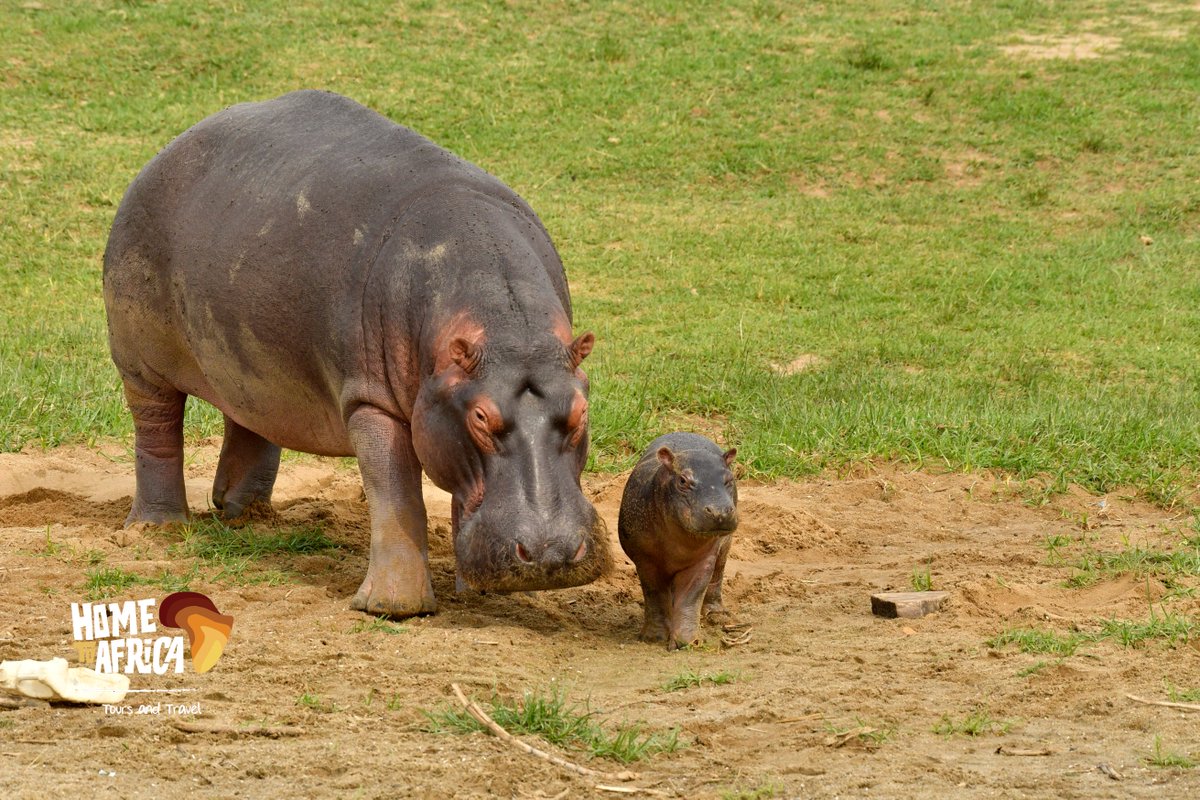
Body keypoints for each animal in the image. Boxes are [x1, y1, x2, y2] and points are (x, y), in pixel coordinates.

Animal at [102, 92, 609, 618]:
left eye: (582, 410)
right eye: (481, 418)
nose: (550, 553)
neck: (508, 324)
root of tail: (169, 149)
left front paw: (473, 589)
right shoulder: (373, 401)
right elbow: (396, 493)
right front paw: (393, 605)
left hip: (245, 354)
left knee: (249, 418)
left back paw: (247, 515)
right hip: (139, 361)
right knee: (157, 429)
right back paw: (158, 529)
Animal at [624, 431, 734, 652]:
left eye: (729, 479)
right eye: (682, 480)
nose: (719, 511)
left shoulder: (703, 559)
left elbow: (691, 596)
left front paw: (687, 642)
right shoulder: (646, 560)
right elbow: (655, 594)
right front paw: (653, 638)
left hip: (724, 545)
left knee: (718, 574)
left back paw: (717, 616)